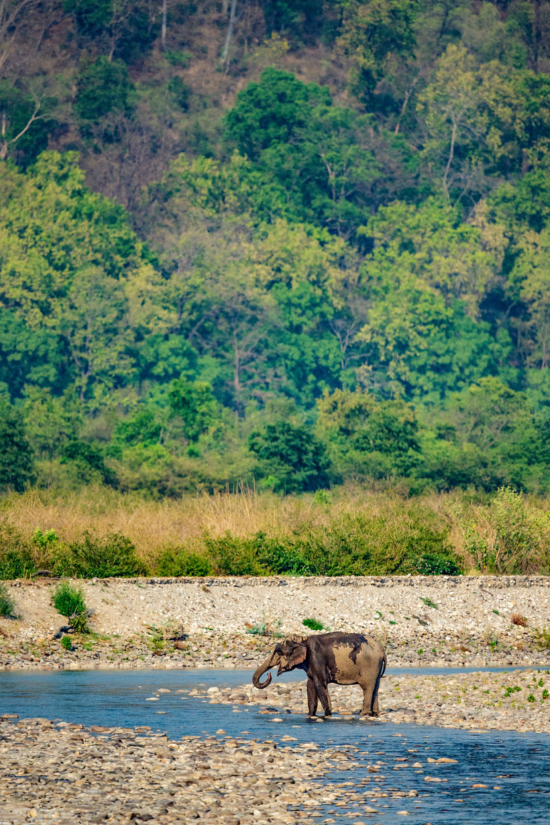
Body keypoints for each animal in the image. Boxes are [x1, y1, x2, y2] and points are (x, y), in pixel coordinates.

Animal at [254, 632, 388, 716]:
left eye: (278, 651)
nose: (269, 674)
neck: (303, 639)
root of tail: (381, 649)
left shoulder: (316, 658)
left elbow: (320, 685)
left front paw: (327, 715)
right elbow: (310, 685)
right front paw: (310, 715)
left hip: (369, 665)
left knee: (367, 687)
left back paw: (363, 714)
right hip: (375, 667)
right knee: (375, 687)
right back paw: (374, 714)